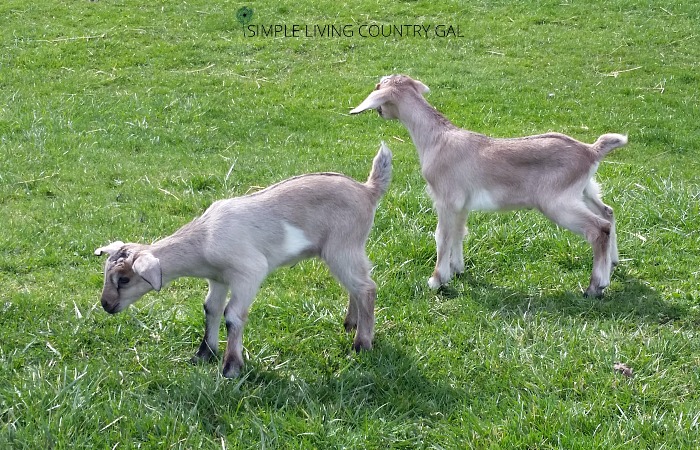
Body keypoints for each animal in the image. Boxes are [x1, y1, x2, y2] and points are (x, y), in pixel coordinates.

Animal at [95, 142, 392, 378]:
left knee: (367, 287)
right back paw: (351, 324)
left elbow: (233, 315)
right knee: (356, 285)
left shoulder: (249, 272)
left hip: (343, 245)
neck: (205, 238)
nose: (106, 305)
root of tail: (368, 191)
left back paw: (361, 345)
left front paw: (231, 368)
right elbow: (211, 308)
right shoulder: (217, 278)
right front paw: (204, 354)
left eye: (124, 279)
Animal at [350, 75, 628, 298]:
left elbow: (442, 236)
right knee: (608, 213)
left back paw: (596, 286)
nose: (379, 112)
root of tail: (591, 151)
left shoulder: (446, 199)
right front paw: (457, 270)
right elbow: (459, 233)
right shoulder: (462, 204)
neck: (436, 138)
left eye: (378, 87)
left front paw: (437, 280)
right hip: (585, 189)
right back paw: (613, 263)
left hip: (557, 203)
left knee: (599, 228)